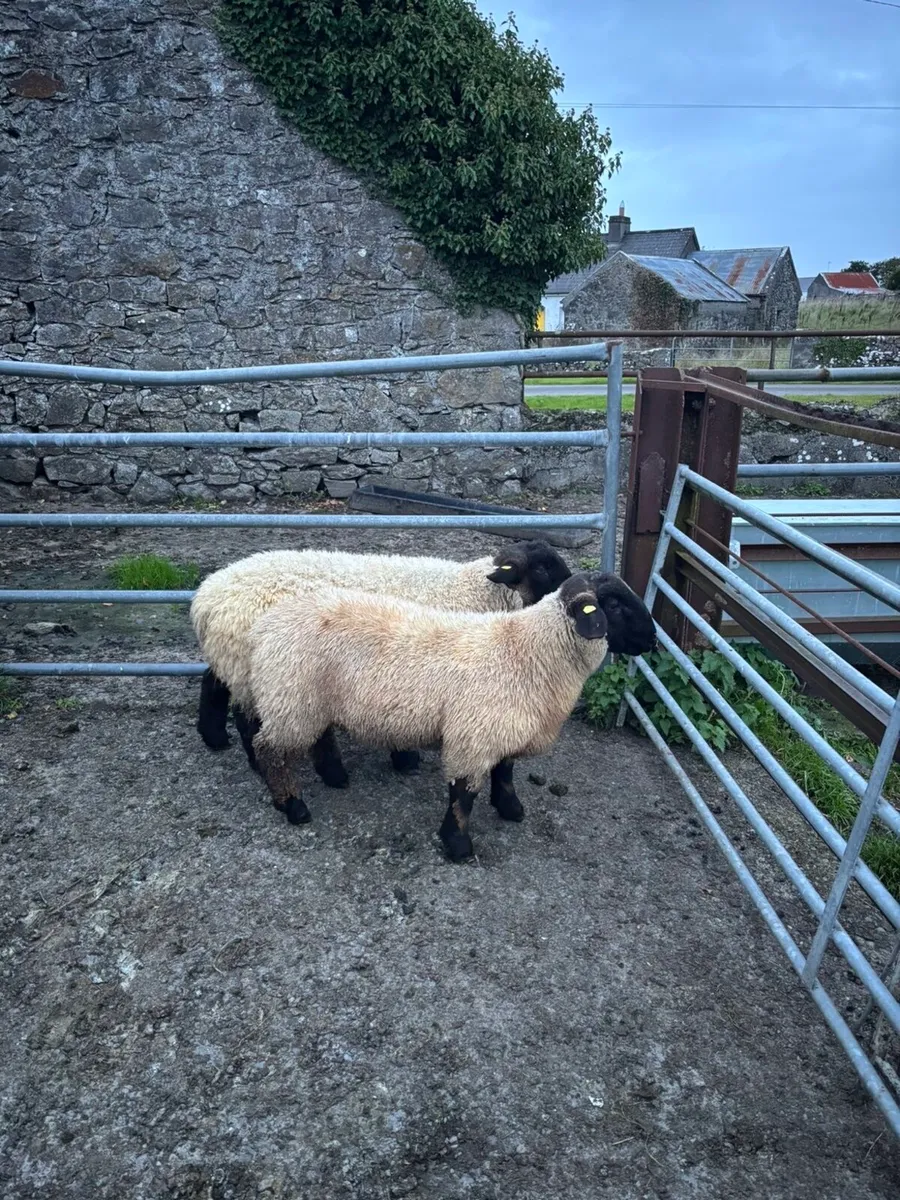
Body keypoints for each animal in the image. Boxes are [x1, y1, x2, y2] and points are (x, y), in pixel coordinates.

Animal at [190, 540, 572, 774]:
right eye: (542, 569)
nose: (574, 588)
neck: (474, 592)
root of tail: (207, 596)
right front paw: (405, 758)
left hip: (237, 659)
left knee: (212, 682)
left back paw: (214, 738)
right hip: (257, 666)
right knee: (245, 715)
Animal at [246, 571, 656, 861]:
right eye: (614, 605)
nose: (653, 641)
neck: (528, 652)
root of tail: (264, 626)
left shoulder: (503, 729)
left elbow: (505, 772)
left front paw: (510, 808)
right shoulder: (473, 737)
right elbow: (463, 796)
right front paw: (457, 845)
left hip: (309, 701)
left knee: (317, 737)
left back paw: (333, 777)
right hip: (291, 699)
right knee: (269, 750)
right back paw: (292, 805)